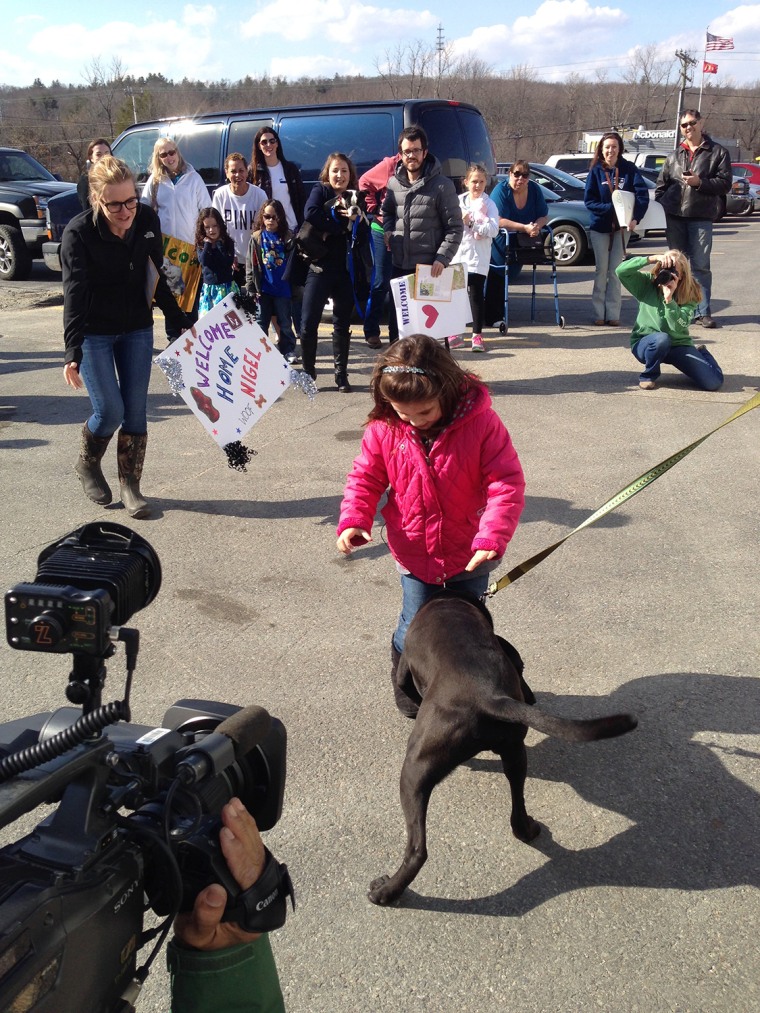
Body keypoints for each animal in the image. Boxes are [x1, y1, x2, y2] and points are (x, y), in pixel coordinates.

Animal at [368, 591, 636, 907]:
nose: (531, 698)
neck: (449, 599)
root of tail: (487, 695)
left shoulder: (405, 669)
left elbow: (404, 684)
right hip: (514, 752)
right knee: (517, 812)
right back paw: (529, 829)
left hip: (414, 769)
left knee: (417, 850)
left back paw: (385, 891)